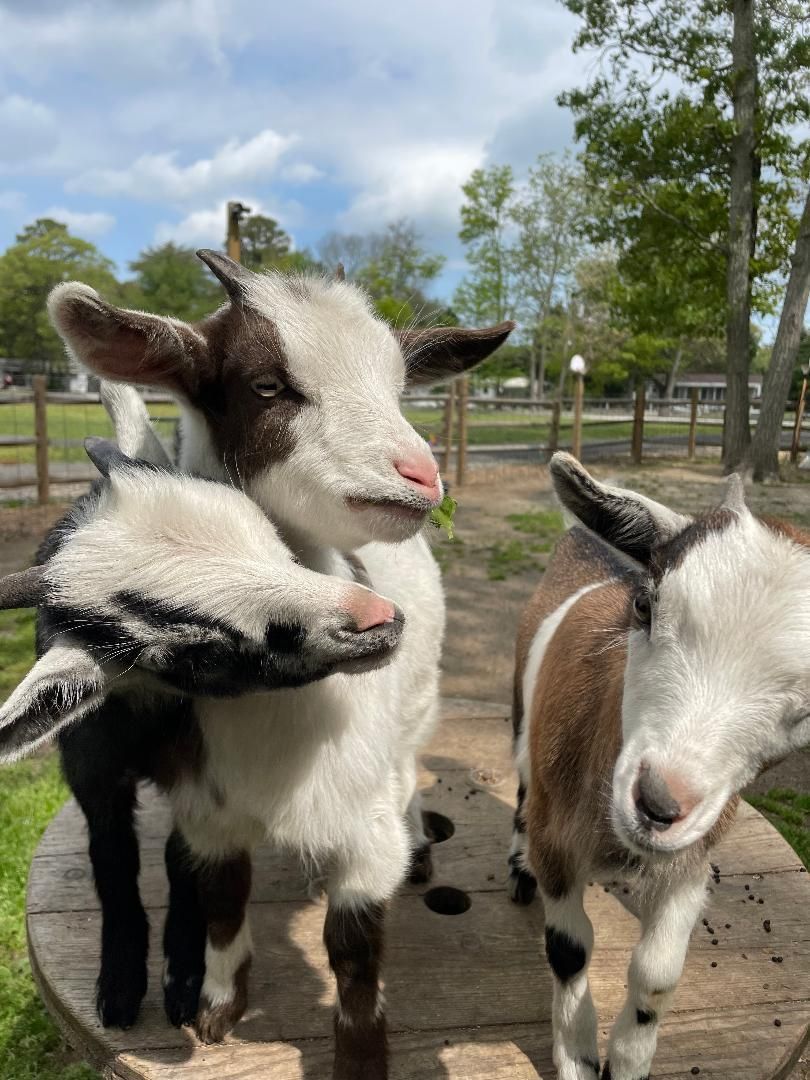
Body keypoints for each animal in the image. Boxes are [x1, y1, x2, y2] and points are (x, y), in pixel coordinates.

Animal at [45, 265, 513, 1076]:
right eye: (268, 386)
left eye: (399, 385)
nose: (421, 475)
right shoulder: (208, 809)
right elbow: (223, 900)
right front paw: (215, 1009)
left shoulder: (364, 836)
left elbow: (352, 953)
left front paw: (361, 1059)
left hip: (419, 704)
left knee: (407, 762)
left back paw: (418, 842)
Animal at [508, 453, 810, 1080]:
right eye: (646, 605)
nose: (658, 803)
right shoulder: (557, 838)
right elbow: (570, 949)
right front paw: (577, 1056)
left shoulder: (692, 858)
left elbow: (657, 975)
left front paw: (627, 1060)